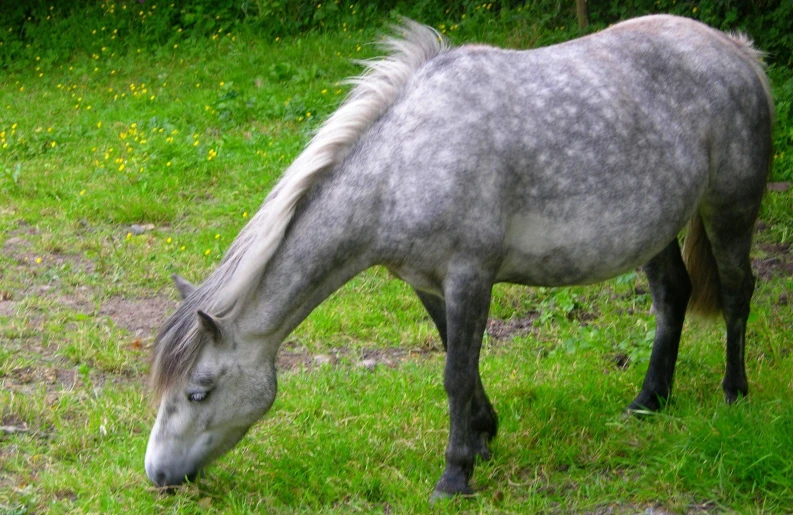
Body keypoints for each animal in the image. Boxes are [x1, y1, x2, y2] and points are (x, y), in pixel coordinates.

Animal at [144, 15, 772, 500]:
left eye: (198, 391)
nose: (157, 476)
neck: (402, 165)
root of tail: (736, 48)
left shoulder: (471, 276)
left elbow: (454, 373)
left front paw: (455, 475)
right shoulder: (427, 283)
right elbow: (458, 359)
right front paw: (483, 436)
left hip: (730, 208)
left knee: (737, 291)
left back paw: (734, 394)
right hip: (655, 228)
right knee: (672, 296)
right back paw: (648, 402)